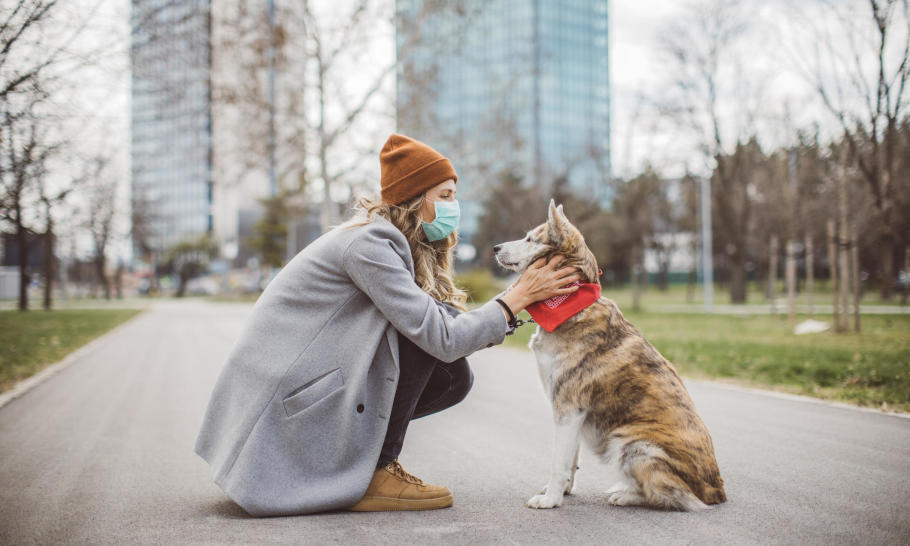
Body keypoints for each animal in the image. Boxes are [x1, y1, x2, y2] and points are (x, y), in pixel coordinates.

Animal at [492, 200, 728, 510]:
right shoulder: (573, 416)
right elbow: (570, 461)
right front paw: (563, 492)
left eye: (531, 239)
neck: (571, 304)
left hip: (631, 444)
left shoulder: (568, 409)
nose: (494, 248)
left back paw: (625, 494)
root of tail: (717, 492)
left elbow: (558, 462)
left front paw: (551, 500)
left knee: (670, 495)